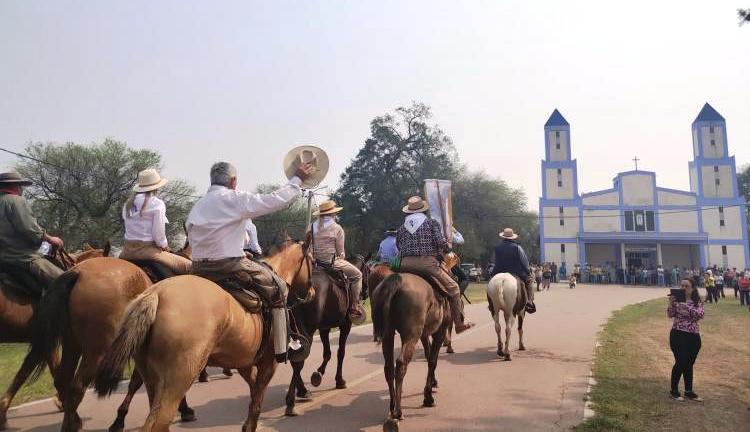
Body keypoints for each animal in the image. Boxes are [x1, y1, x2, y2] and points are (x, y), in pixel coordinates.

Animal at [94, 241, 318, 430]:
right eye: (313, 261)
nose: (312, 293)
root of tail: (154, 294)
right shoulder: (268, 362)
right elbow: (256, 402)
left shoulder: (244, 362)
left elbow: (255, 392)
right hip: (178, 379)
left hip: (153, 380)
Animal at [284, 253, 372, 416]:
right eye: (368, 271)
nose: (365, 293)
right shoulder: (346, 325)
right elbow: (340, 352)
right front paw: (339, 380)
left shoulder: (324, 328)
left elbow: (327, 353)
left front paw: (318, 373)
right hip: (307, 331)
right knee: (299, 360)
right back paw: (291, 401)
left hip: (294, 330)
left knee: (295, 359)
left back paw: (302, 391)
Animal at [372, 268, 450, 430]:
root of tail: (396, 279)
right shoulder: (440, 332)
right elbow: (432, 361)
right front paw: (428, 397)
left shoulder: (424, 334)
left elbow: (428, 356)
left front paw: (432, 384)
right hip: (412, 334)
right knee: (401, 364)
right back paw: (398, 412)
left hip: (389, 333)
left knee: (389, 367)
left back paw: (392, 406)